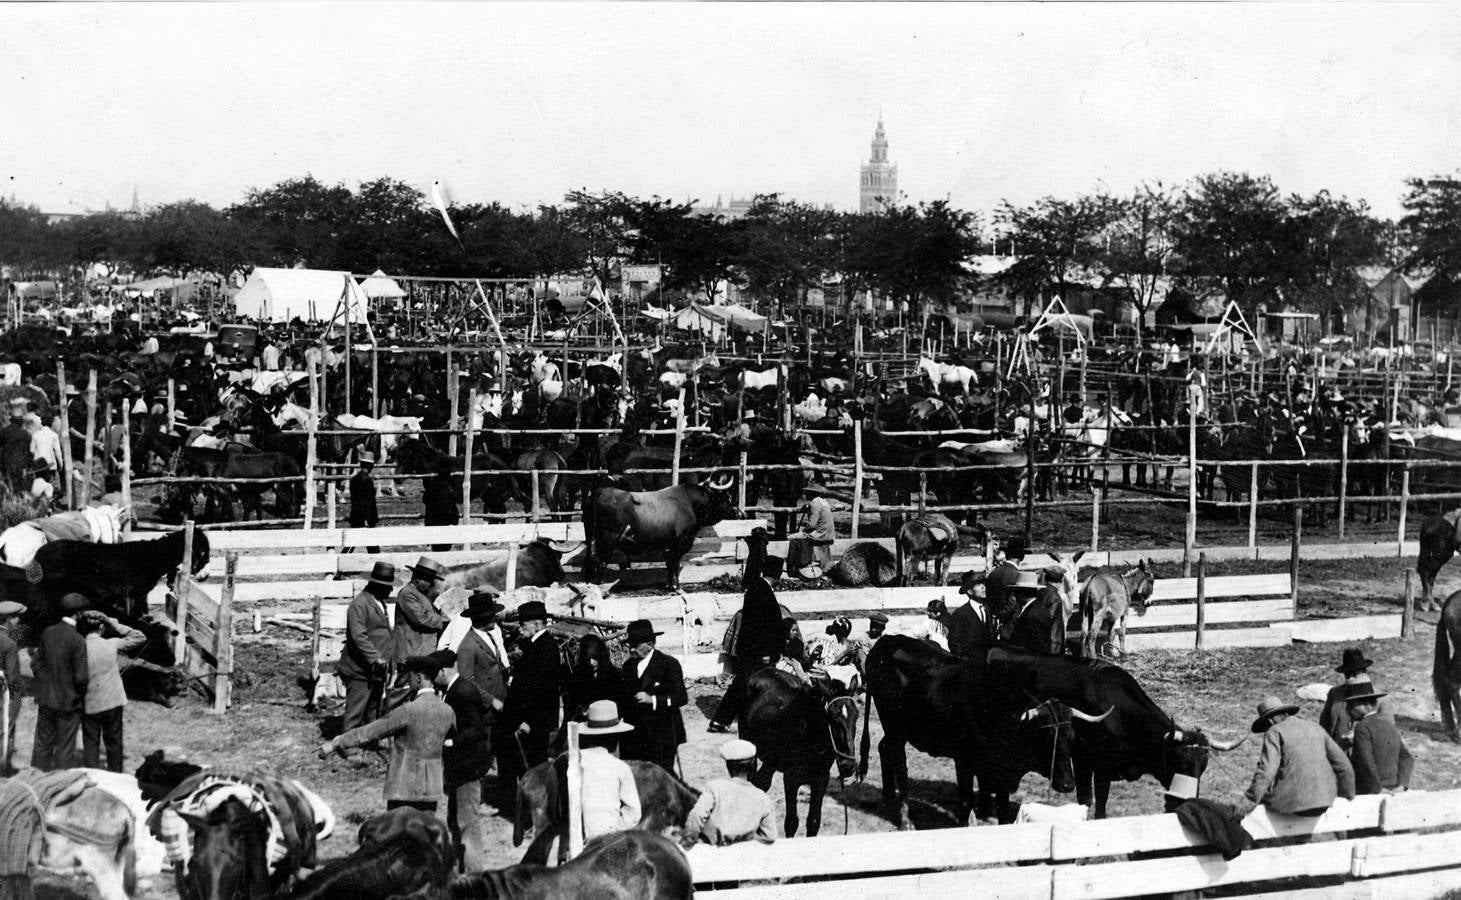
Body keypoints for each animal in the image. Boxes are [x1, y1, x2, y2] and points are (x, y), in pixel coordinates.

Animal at [581, 479, 736, 590]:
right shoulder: (679, 543)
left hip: (590, 536)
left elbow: (669, 565)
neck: (690, 503)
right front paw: (676, 587)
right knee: (600, 562)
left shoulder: (668, 546)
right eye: (725, 498)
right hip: (608, 539)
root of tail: (599, 491)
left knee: (590, 561)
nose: (739, 512)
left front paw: (670, 585)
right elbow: (675, 564)